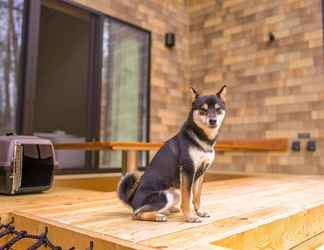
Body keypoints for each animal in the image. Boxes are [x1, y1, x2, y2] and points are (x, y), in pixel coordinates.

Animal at [117, 85, 227, 223]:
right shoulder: (187, 171)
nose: (213, 120)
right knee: (136, 214)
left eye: (218, 110)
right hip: (166, 195)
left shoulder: (200, 173)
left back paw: (166, 211)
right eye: (203, 110)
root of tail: (131, 200)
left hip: (174, 193)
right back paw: (158, 216)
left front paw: (200, 212)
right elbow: (187, 198)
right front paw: (190, 217)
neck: (203, 139)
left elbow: (197, 196)